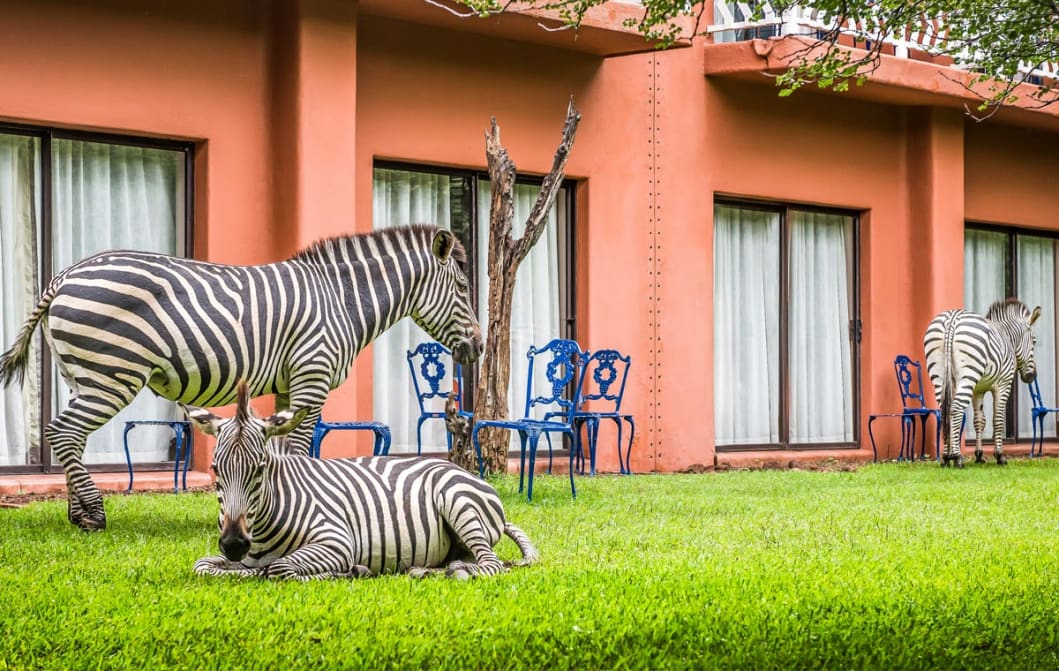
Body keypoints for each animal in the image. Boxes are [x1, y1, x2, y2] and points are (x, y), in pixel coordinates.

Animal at [0, 225, 482, 531]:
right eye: (462, 287)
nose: (478, 348)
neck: (341, 300)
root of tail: (65, 274)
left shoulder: (290, 385)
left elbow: (283, 451)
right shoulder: (311, 376)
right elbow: (299, 449)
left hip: (82, 375)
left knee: (69, 437)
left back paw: (76, 514)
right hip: (113, 374)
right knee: (63, 433)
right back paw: (94, 515)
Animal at [184, 381, 539, 580]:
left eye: (259, 469)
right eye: (216, 470)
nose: (233, 544)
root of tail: (465, 472)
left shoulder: (338, 540)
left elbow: (280, 570)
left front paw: (347, 572)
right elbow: (204, 565)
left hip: (458, 503)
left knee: (492, 564)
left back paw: (458, 572)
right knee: (466, 560)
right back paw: (426, 570)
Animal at [924, 298, 1041, 467]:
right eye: (1034, 341)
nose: (1032, 376)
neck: (1008, 338)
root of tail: (952, 319)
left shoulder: (977, 390)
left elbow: (979, 420)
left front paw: (979, 456)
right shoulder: (1003, 384)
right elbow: (997, 419)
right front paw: (1000, 456)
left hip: (940, 377)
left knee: (944, 411)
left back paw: (946, 457)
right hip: (968, 376)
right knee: (956, 409)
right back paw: (957, 457)